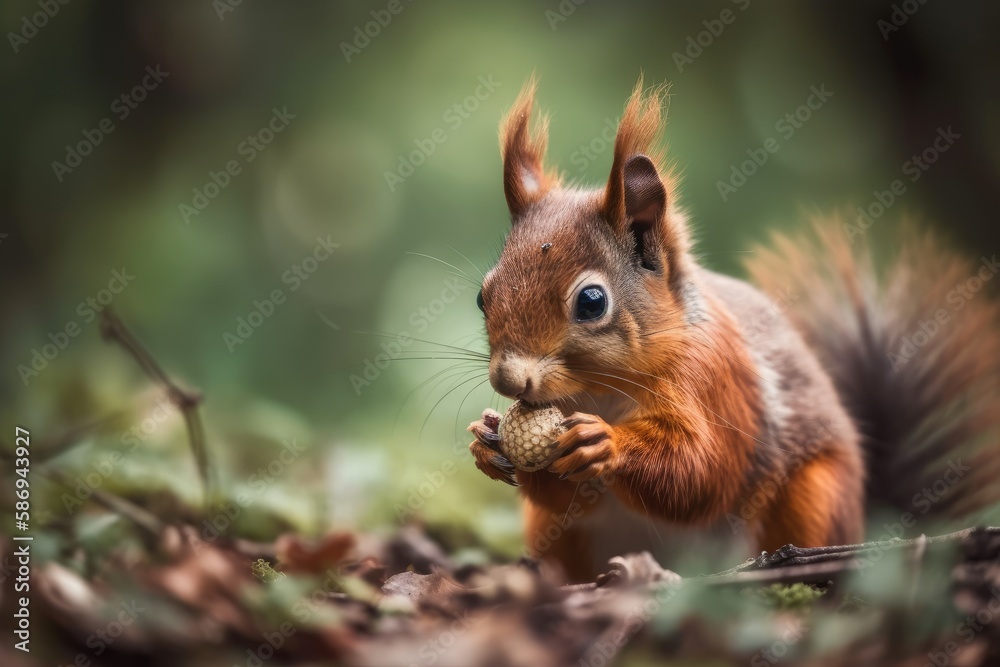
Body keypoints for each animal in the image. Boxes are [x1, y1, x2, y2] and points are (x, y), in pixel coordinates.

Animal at [468, 75, 1000, 580]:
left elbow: (704, 472)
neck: (600, 391)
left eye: (592, 301)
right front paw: (485, 440)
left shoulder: (717, 380)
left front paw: (605, 442)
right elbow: (565, 495)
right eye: (482, 295)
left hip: (815, 494)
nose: (508, 379)